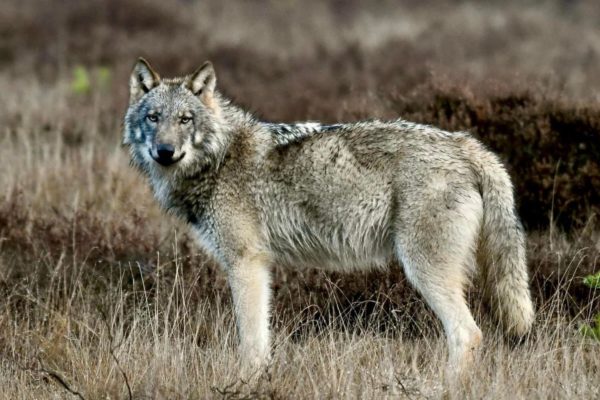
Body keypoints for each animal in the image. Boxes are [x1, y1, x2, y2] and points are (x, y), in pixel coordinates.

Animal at [122, 57, 536, 374]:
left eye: (185, 119)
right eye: (154, 118)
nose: (164, 151)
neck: (218, 157)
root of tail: (468, 145)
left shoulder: (245, 263)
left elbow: (251, 343)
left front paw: (246, 382)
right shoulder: (260, 267)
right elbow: (262, 340)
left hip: (424, 270)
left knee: (468, 334)